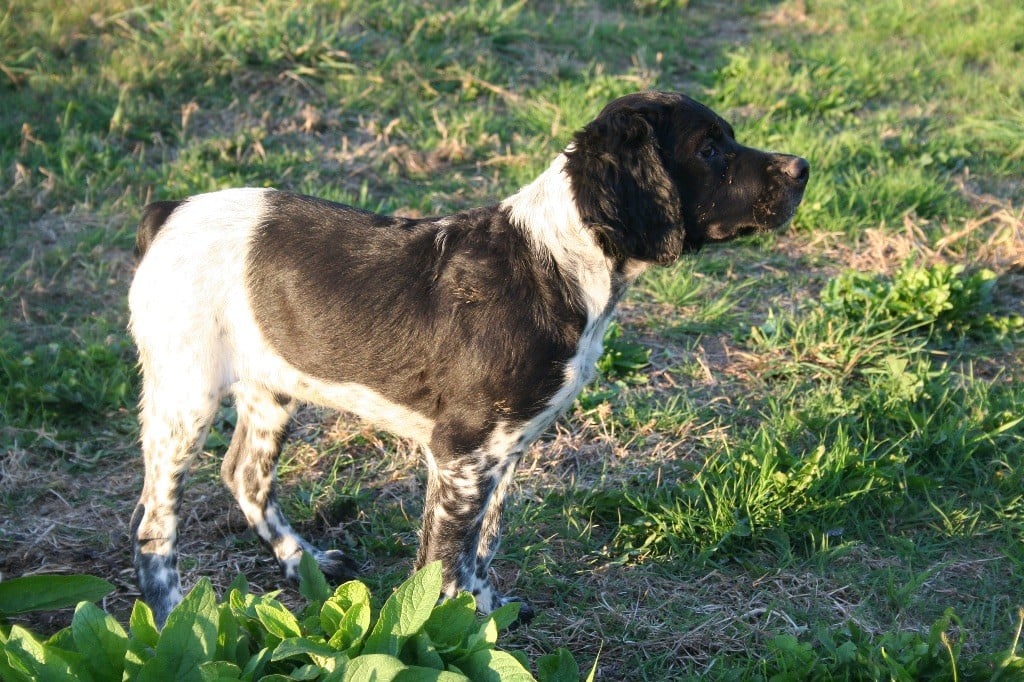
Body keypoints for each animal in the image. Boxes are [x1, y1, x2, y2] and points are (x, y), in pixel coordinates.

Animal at [128, 91, 808, 626]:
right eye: (711, 150)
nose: (803, 167)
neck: (559, 260)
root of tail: (167, 212)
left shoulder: (505, 448)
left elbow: (483, 541)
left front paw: (483, 613)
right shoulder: (461, 452)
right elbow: (444, 557)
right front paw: (443, 635)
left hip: (270, 385)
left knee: (244, 474)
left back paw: (305, 562)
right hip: (183, 398)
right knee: (153, 523)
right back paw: (172, 620)